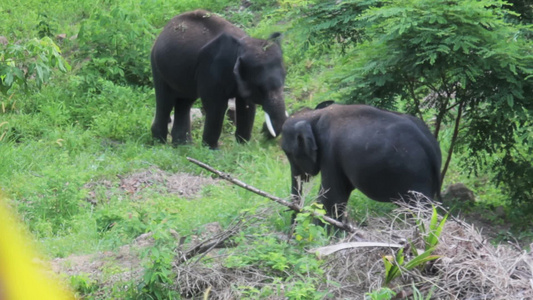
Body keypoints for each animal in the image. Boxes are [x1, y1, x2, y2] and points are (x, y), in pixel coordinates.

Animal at [148, 9, 288, 149]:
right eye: (260, 87)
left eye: (284, 78)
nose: (264, 132)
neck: (243, 46)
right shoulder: (210, 69)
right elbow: (216, 105)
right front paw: (212, 150)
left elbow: (246, 105)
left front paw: (242, 146)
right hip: (158, 66)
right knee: (165, 101)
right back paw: (160, 143)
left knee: (184, 102)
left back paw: (183, 146)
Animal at [280, 102, 442, 220]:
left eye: (288, 153)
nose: (292, 233)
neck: (314, 115)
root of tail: (429, 144)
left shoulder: (330, 153)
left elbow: (331, 198)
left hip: (414, 174)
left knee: (419, 208)